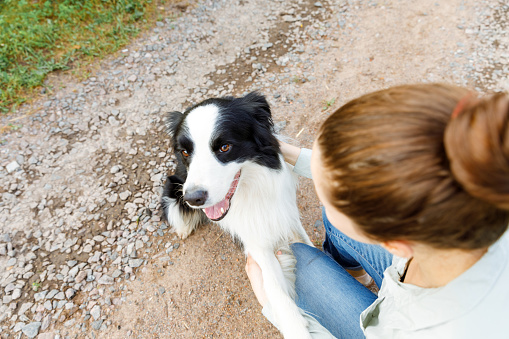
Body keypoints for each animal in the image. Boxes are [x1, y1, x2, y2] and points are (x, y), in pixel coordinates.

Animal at [163, 93, 314, 339]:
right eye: (185, 152)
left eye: (225, 147)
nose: (194, 198)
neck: (249, 190)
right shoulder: (254, 239)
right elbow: (274, 286)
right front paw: (295, 326)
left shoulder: (285, 213)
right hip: (173, 185)